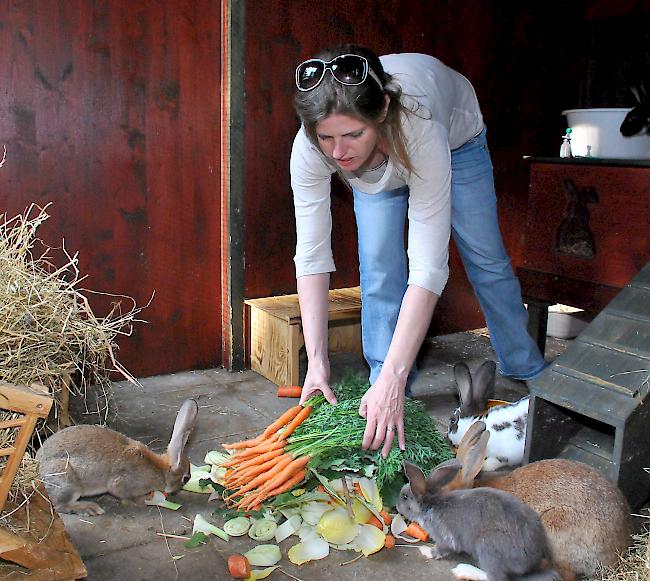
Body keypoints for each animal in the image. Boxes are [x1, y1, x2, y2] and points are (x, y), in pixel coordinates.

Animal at [35, 396, 196, 516]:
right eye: (186, 478)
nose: (177, 491)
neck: (160, 471)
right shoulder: (124, 484)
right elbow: (125, 495)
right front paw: (143, 500)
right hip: (66, 481)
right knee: (60, 505)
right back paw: (90, 508)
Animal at [394, 458, 556, 580]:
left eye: (405, 497)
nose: (396, 506)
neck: (431, 506)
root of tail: (532, 561)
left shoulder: (445, 539)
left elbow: (441, 549)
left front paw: (425, 550)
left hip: (487, 548)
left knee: (495, 577)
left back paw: (463, 570)